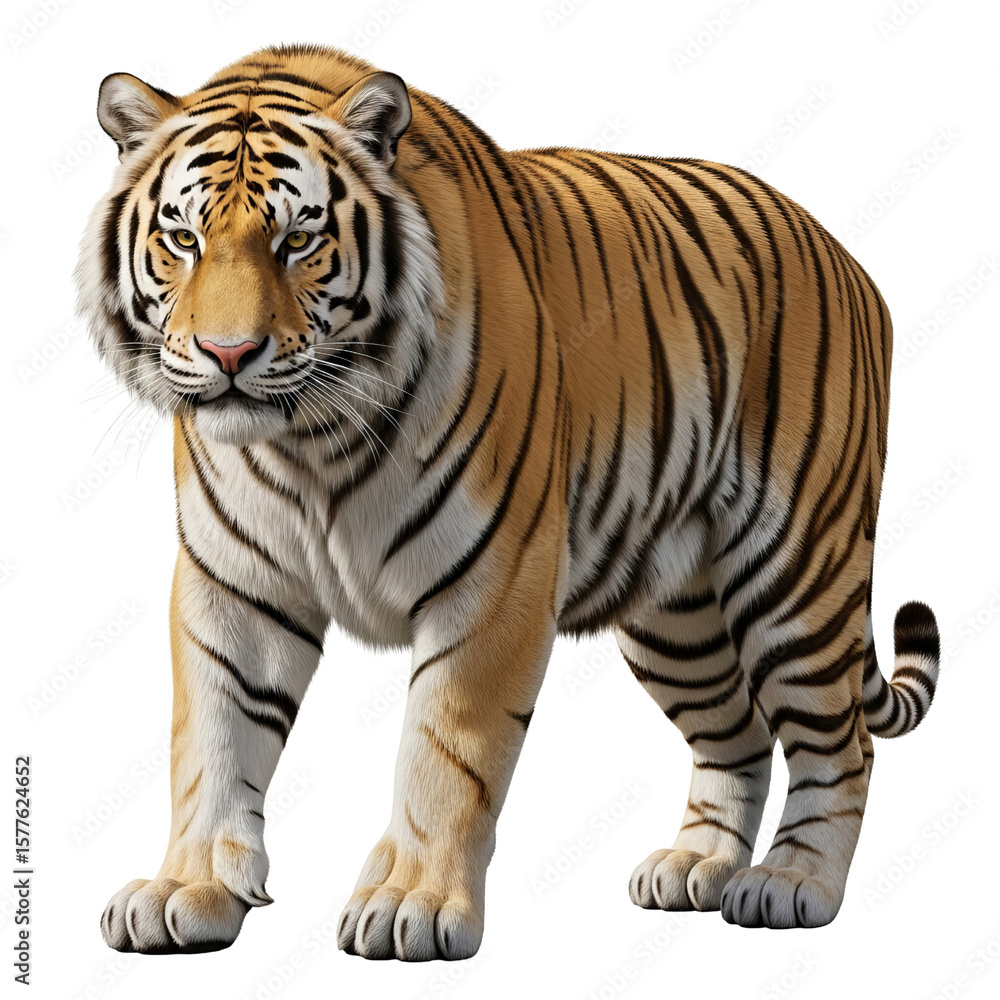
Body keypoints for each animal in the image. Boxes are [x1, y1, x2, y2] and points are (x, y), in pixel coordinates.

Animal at [76, 43, 941, 960]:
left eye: (298, 240)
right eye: (183, 238)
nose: (229, 353)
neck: (310, 442)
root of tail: (848, 259)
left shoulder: (492, 581)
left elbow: (444, 751)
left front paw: (411, 905)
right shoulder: (232, 585)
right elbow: (212, 740)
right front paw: (188, 889)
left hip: (798, 571)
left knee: (840, 744)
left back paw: (793, 882)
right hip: (677, 619)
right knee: (738, 734)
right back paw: (695, 865)